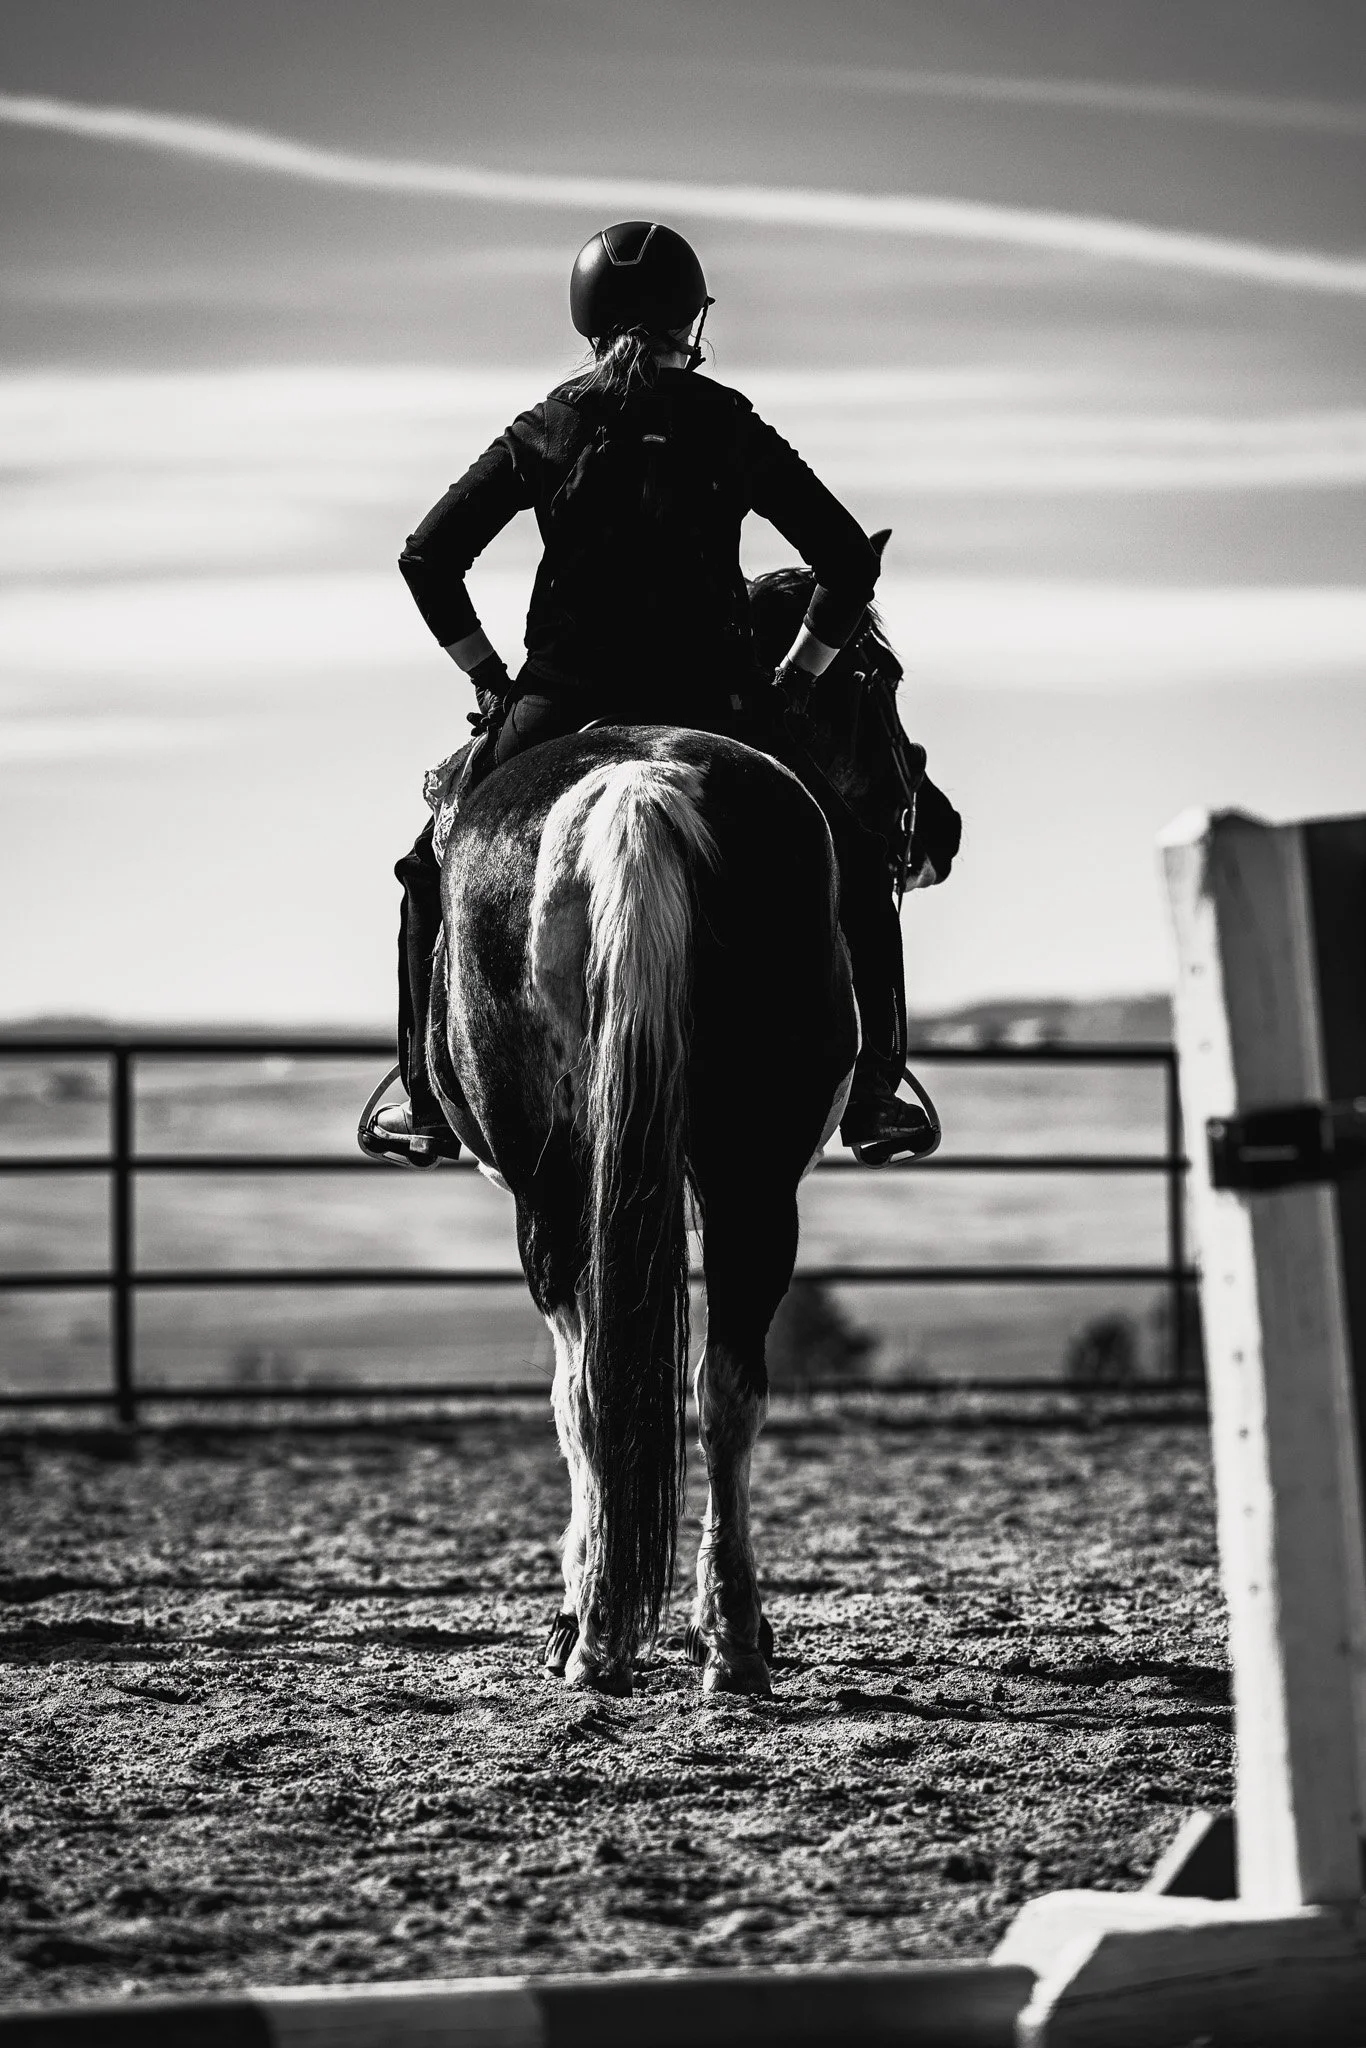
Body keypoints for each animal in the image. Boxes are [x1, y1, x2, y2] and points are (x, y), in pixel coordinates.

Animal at [422, 543, 956, 1697]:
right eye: (879, 679)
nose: (938, 825)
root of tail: (638, 786)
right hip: (743, 1180)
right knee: (714, 1388)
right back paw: (720, 1637)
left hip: (573, 1187)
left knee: (604, 1388)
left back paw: (616, 1634)